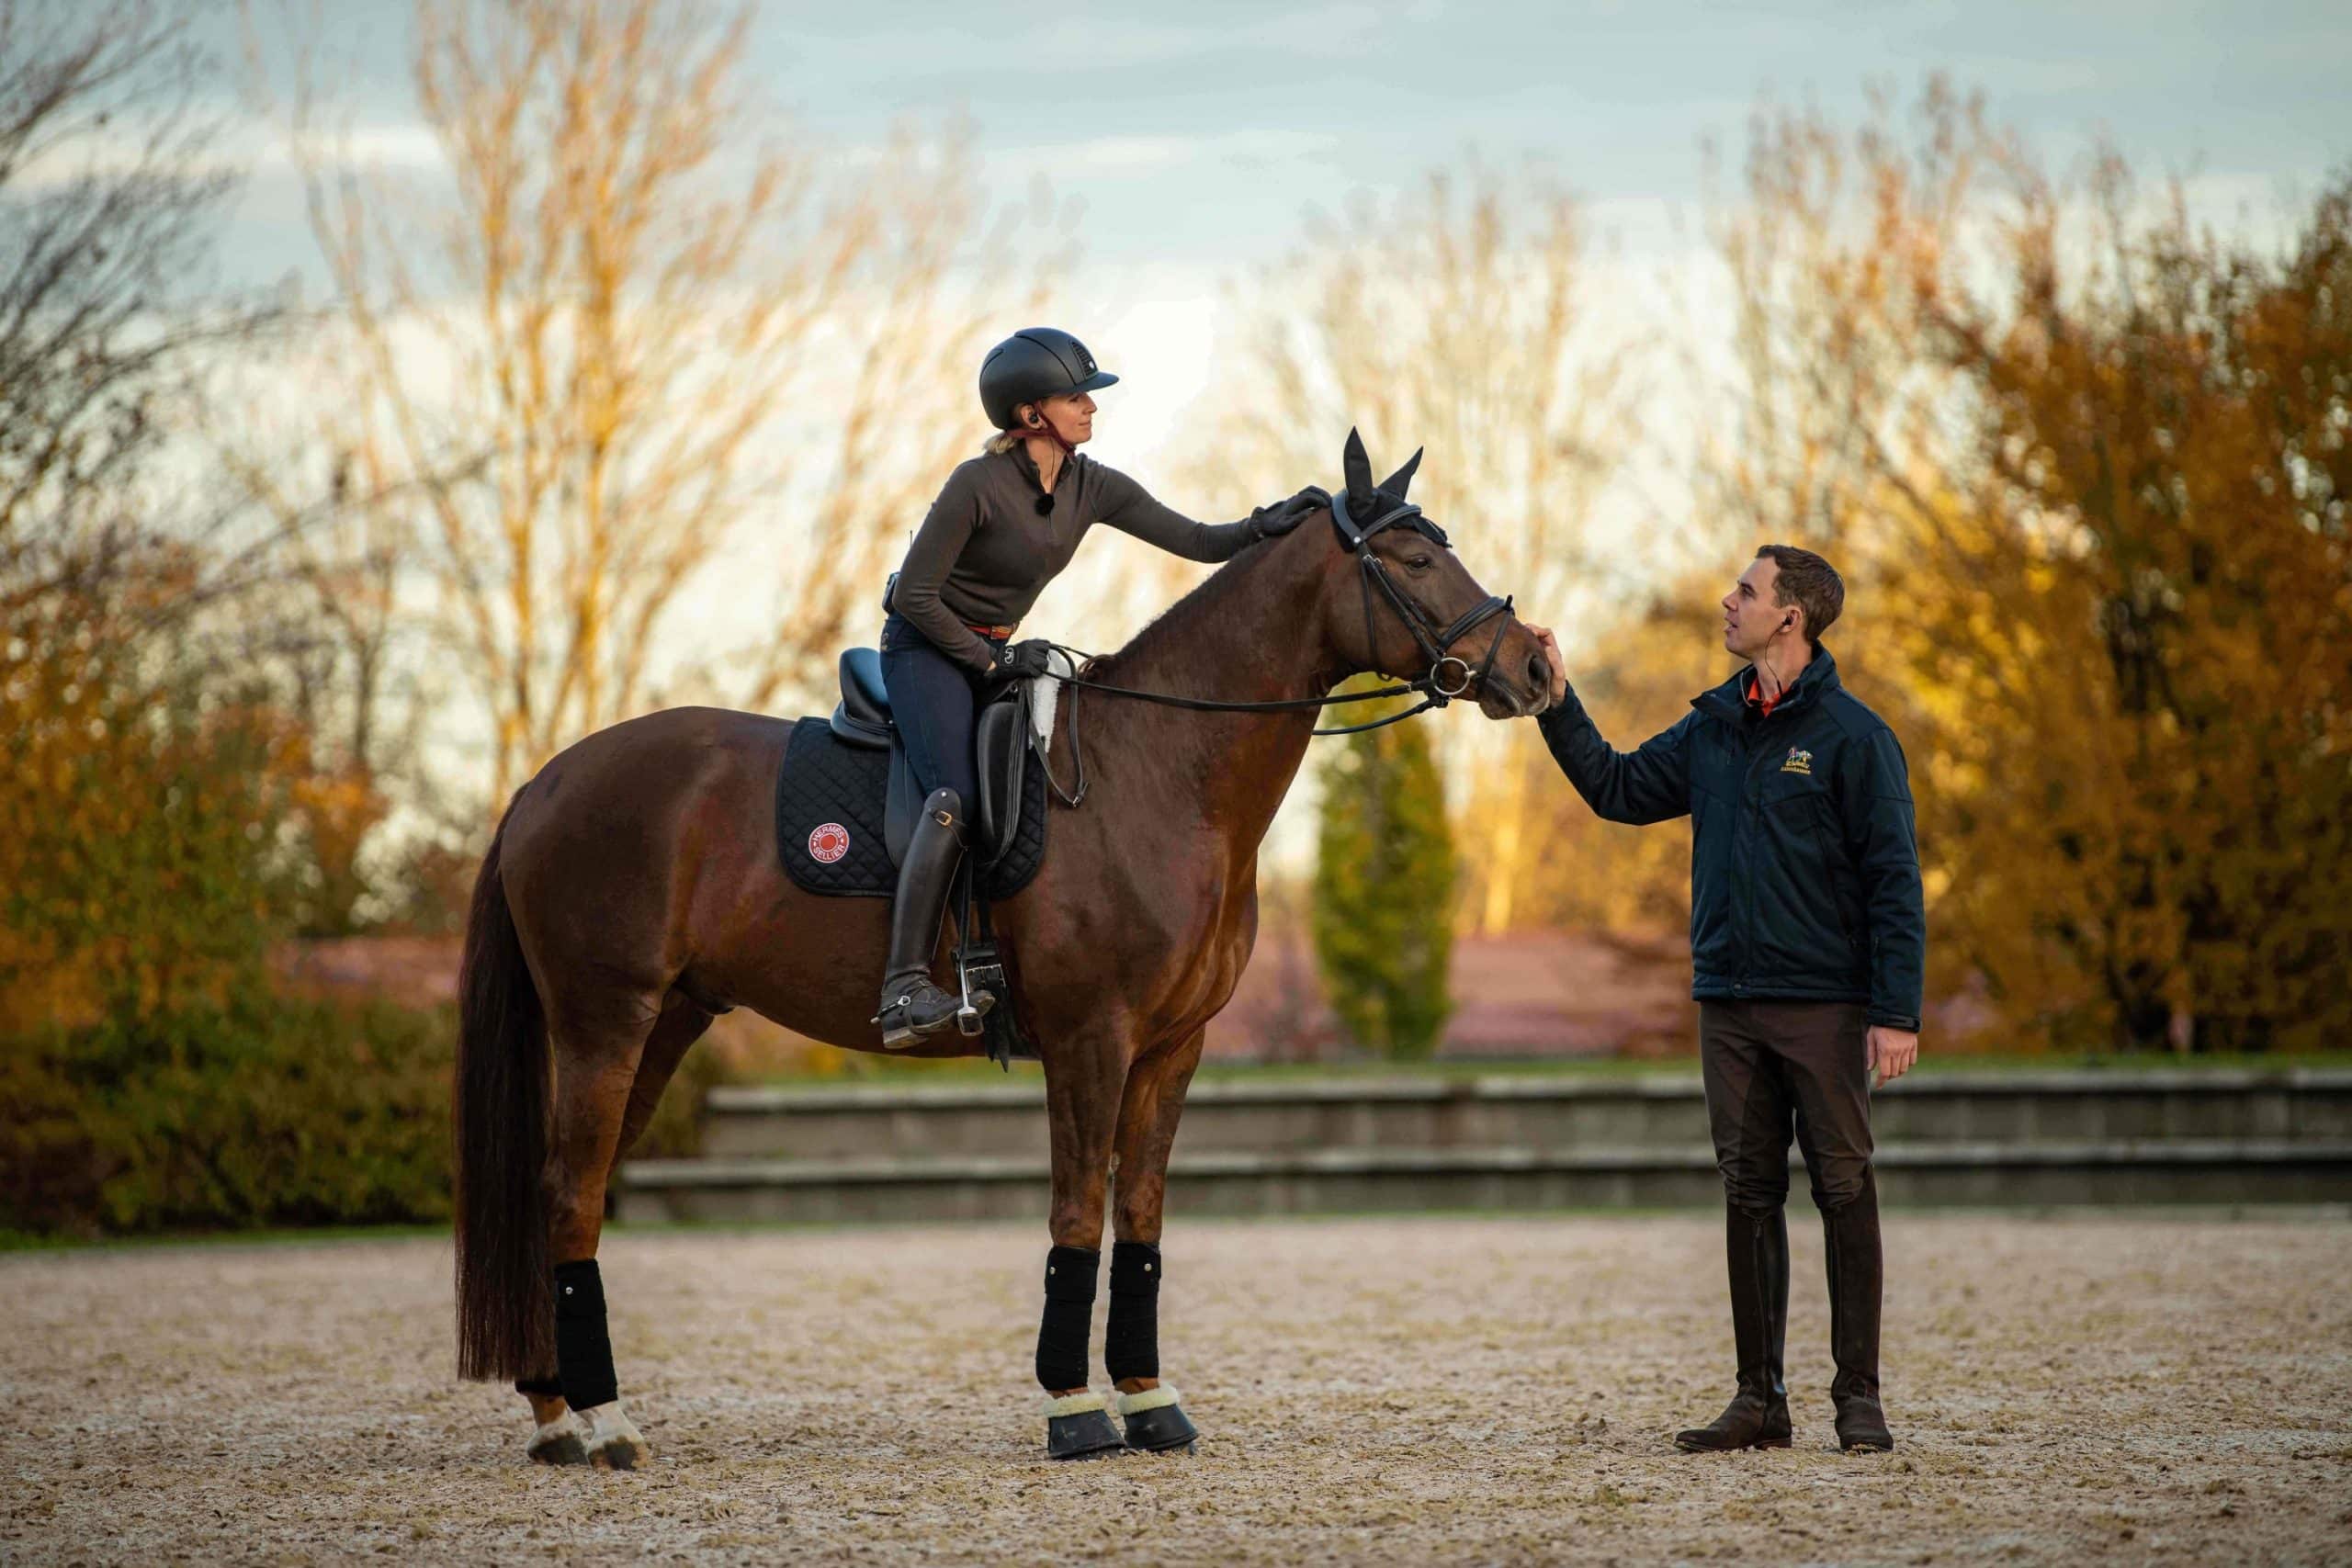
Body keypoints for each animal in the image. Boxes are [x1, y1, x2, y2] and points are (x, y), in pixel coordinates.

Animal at [447, 423, 1552, 1466]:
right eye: (1415, 559)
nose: (1536, 666)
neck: (1157, 772)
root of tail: (546, 782)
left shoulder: (1170, 1048)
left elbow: (1139, 1218)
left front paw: (1149, 1400)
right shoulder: (1090, 1039)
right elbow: (1076, 1218)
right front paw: (1075, 1409)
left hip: (664, 1024)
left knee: (568, 1195)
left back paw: (557, 1411)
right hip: (605, 1021)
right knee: (571, 1196)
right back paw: (603, 1420)